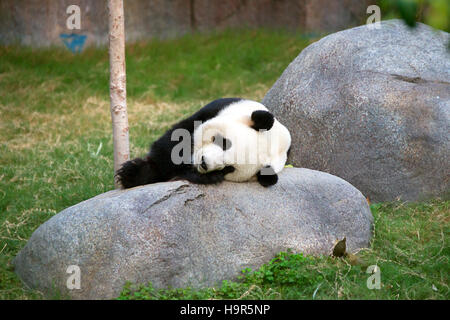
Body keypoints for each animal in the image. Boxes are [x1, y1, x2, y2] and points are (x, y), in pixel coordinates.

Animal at [116, 97, 292, 188]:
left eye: (229, 168)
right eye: (223, 142)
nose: (204, 163)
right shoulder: (218, 109)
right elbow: (173, 144)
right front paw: (132, 174)